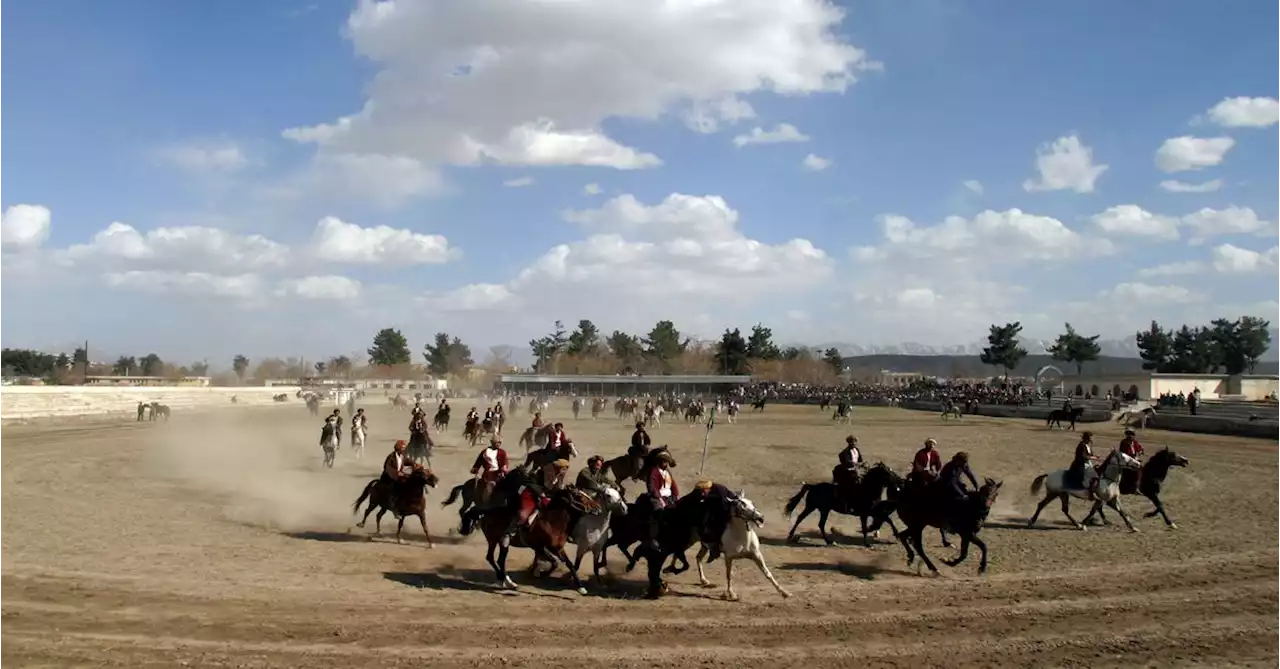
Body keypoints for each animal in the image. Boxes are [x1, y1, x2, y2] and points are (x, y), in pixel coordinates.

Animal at [460, 486, 593, 596]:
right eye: (580, 496)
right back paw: (507, 581)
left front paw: (581, 588)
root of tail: (486, 512)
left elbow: (567, 564)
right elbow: (555, 562)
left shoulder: (556, 548)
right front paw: (540, 573)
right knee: (494, 558)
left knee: (497, 559)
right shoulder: (541, 547)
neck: (551, 521)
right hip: (494, 539)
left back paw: (506, 581)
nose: (596, 507)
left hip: (497, 541)